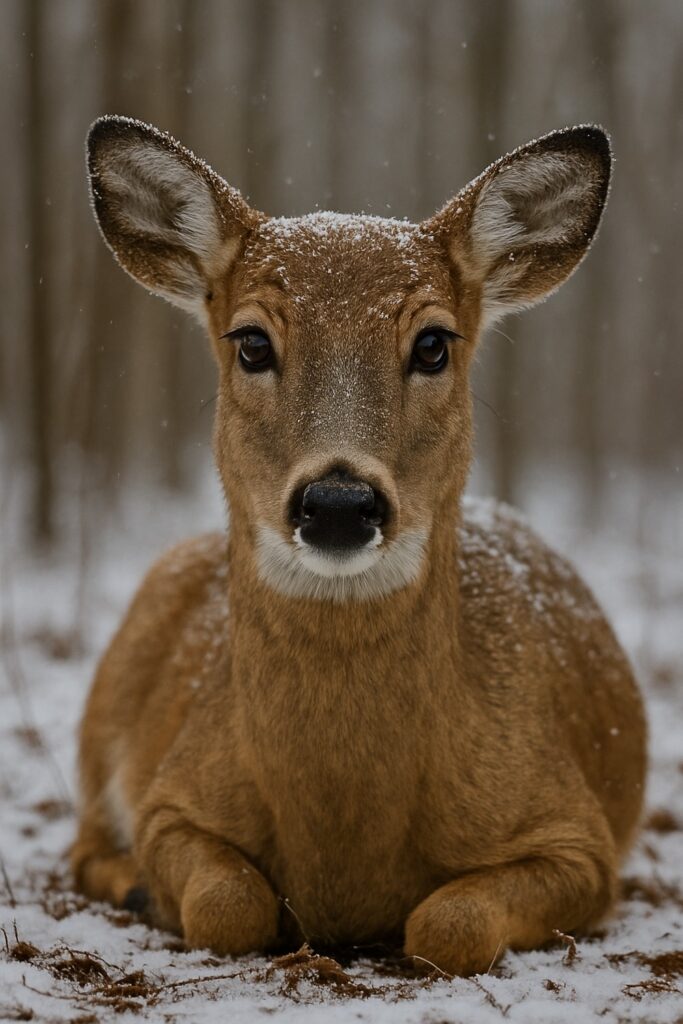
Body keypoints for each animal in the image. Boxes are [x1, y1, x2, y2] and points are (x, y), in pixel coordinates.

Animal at [71, 116, 647, 976]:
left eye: (433, 343)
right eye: (250, 342)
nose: (338, 502)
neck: (345, 849)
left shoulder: (581, 838)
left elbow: (448, 924)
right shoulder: (170, 798)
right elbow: (226, 903)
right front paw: (156, 888)